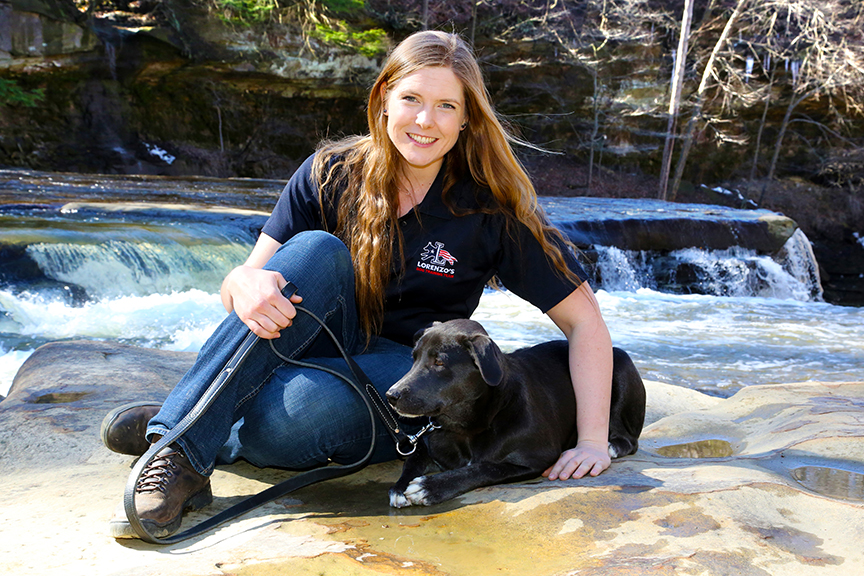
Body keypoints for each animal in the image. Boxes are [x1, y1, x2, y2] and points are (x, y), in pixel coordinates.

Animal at [384, 320, 640, 508]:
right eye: (414, 357)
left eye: (439, 362)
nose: (390, 395)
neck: (468, 427)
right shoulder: (427, 445)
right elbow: (413, 459)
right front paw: (400, 487)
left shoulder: (534, 459)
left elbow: (484, 468)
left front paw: (430, 487)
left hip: (621, 364)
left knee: (629, 439)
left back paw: (610, 446)